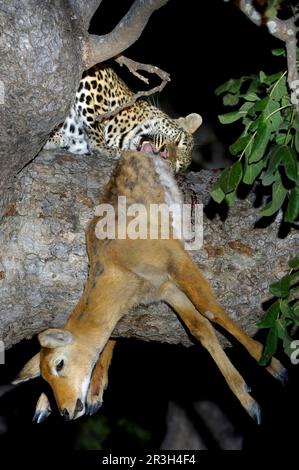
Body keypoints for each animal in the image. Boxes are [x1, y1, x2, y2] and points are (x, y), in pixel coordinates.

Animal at [13, 115, 288, 424]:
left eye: (59, 364)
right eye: (44, 378)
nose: (66, 410)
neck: (118, 267)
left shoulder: (176, 259)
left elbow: (211, 310)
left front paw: (274, 366)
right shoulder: (166, 289)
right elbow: (200, 329)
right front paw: (249, 400)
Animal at [44, 63, 204, 172]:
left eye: (176, 166)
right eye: (178, 141)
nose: (164, 154)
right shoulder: (97, 77)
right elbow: (94, 118)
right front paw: (104, 148)